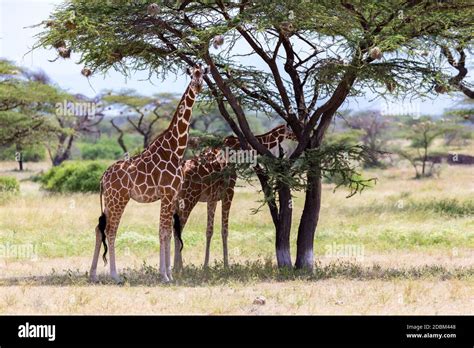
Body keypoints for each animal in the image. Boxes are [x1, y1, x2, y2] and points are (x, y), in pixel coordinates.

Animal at [90, 64, 208, 282]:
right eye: (191, 75)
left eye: (203, 74)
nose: (198, 86)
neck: (176, 149)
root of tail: (103, 177)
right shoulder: (167, 194)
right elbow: (162, 232)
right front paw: (164, 275)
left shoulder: (173, 195)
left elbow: (168, 232)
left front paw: (170, 273)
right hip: (119, 199)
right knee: (110, 231)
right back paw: (115, 275)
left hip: (110, 200)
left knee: (99, 229)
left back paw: (93, 275)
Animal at [172, 125, 294, 270]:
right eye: (292, 131)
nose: (298, 136)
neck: (235, 148)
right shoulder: (229, 193)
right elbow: (225, 230)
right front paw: (226, 265)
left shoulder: (212, 198)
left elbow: (209, 230)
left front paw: (206, 265)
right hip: (189, 198)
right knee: (178, 229)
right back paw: (178, 268)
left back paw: (175, 267)